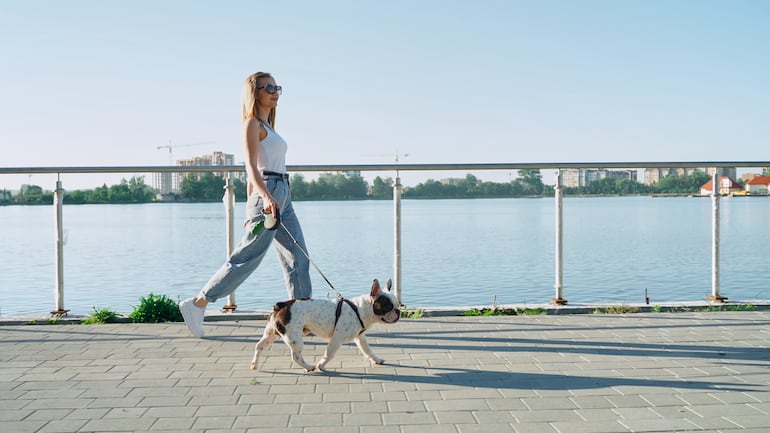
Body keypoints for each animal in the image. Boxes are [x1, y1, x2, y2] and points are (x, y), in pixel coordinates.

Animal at [250, 278, 400, 370]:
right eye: (388, 306)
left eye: (397, 304)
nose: (398, 311)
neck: (360, 308)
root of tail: (282, 305)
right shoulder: (337, 339)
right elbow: (329, 353)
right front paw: (321, 365)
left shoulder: (360, 338)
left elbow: (368, 350)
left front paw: (376, 359)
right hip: (295, 338)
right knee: (296, 356)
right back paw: (309, 367)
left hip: (271, 334)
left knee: (259, 346)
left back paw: (254, 365)